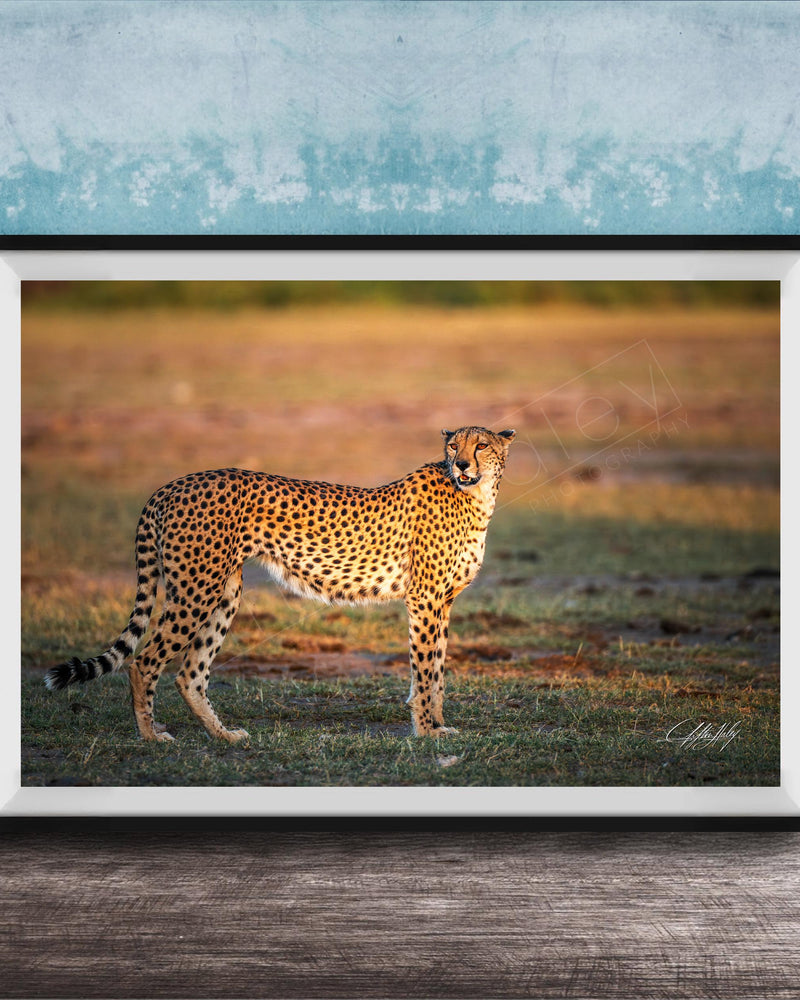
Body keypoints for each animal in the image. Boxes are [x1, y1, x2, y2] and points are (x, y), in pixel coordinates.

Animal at [45, 425, 516, 741]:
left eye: (482, 445)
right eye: (454, 445)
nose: (461, 464)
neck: (475, 497)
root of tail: (172, 484)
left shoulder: (443, 601)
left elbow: (437, 670)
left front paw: (438, 724)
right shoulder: (424, 599)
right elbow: (426, 669)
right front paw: (428, 731)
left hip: (224, 592)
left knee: (190, 673)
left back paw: (224, 735)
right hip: (195, 589)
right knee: (144, 661)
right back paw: (151, 736)